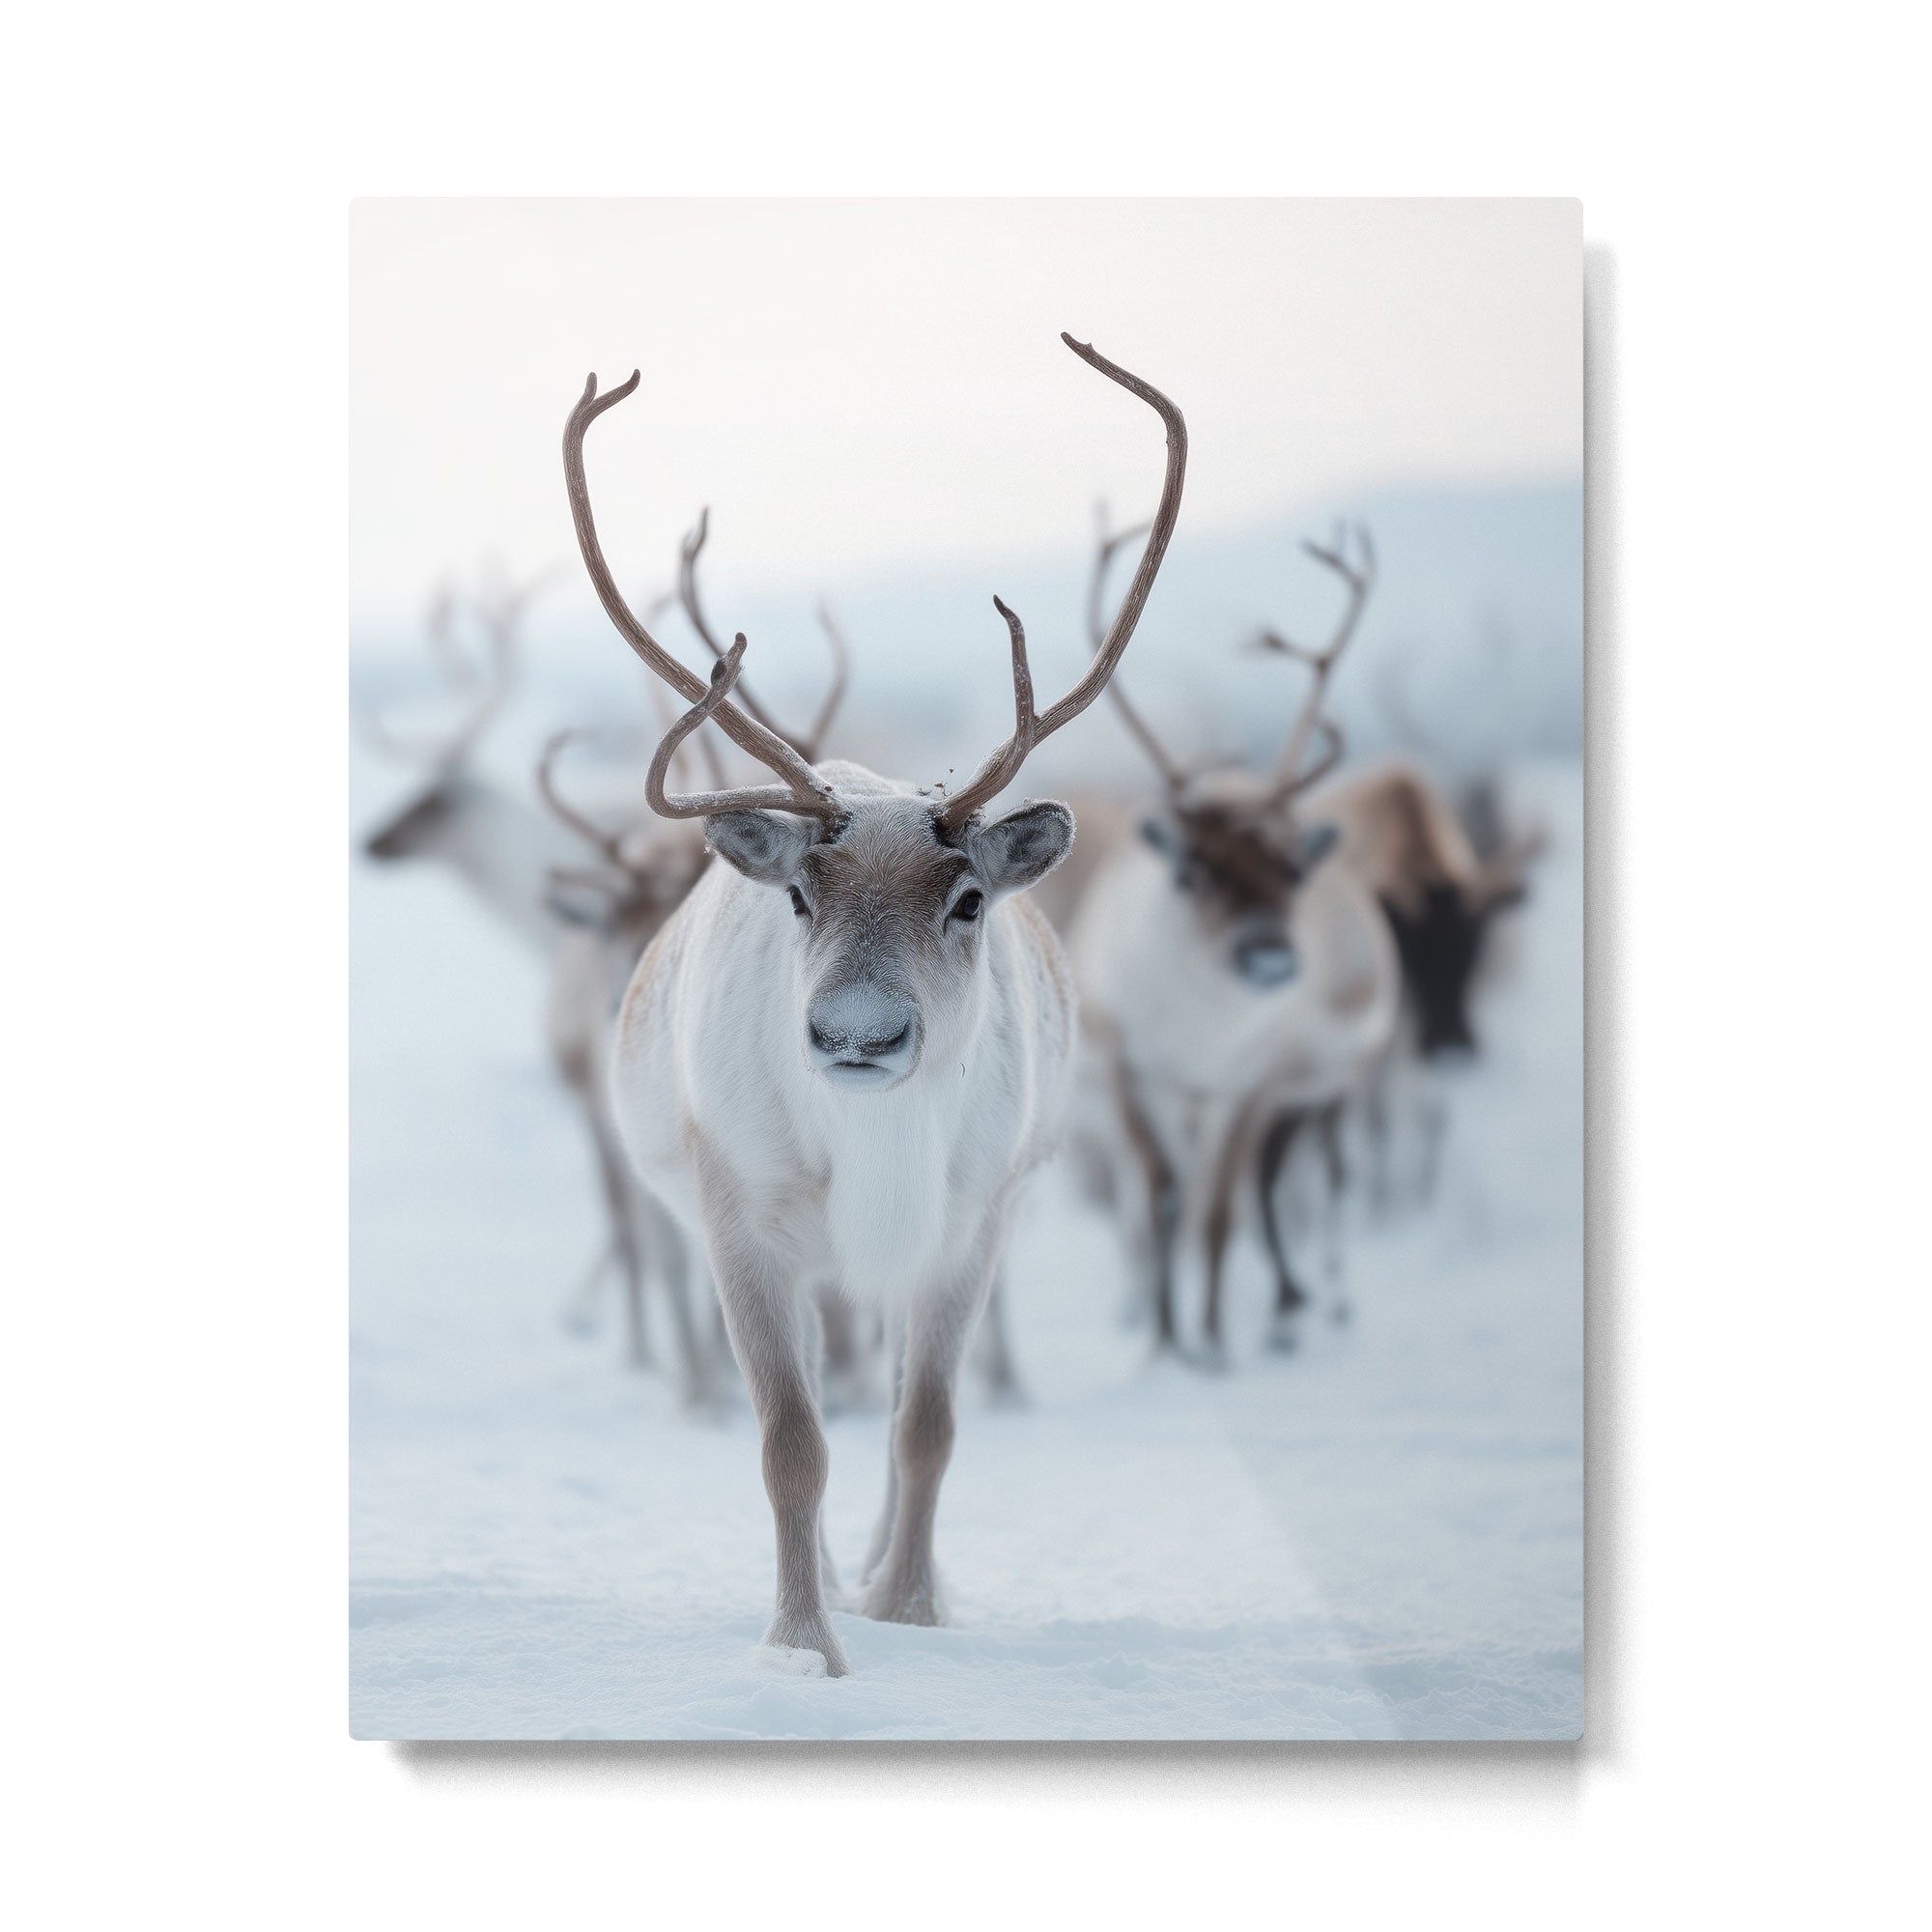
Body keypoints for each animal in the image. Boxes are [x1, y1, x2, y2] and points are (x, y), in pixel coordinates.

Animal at [563, 332, 1186, 1674]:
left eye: (968, 898)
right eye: (800, 893)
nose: (856, 1033)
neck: (871, 1151)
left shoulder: (968, 1223)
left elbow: (928, 1426)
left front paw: (907, 1610)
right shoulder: (739, 1219)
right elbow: (790, 1440)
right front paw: (804, 1640)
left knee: (907, 1408)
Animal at [1068, 519, 1400, 1359]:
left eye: (1293, 870)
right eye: (1195, 871)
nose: (1271, 956)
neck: (1200, 1030)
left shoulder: (1247, 1083)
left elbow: (1218, 1212)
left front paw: (1213, 1343)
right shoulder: (1128, 1070)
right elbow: (1161, 1198)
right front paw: (1163, 1343)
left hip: (1314, 1087)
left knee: (1295, 1180)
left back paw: (1304, 1301)